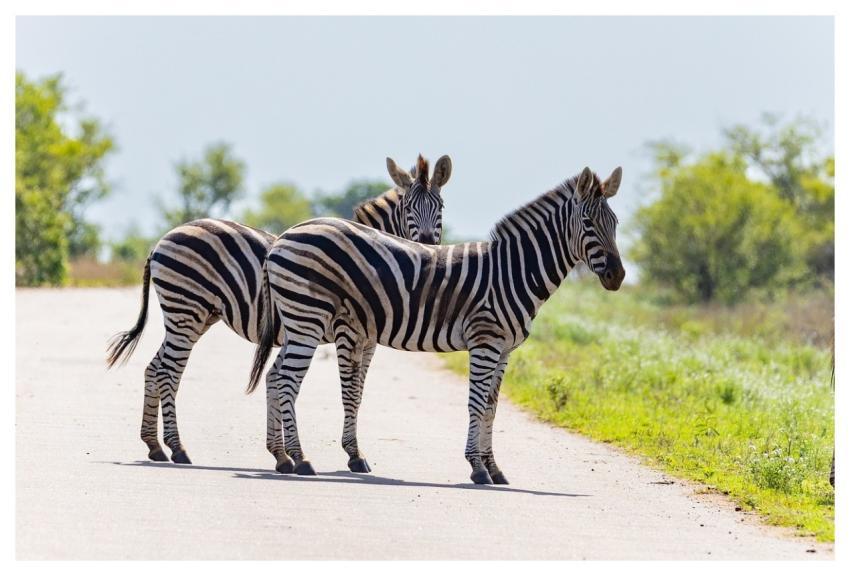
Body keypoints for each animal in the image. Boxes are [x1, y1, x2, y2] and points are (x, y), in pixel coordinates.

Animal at [106, 153, 453, 465]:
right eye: (407, 207)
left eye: (441, 206)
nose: (428, 245)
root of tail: (161, 241)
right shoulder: (348, 333)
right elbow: (349, 391)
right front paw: (352, 455)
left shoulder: (366, 340)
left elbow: (351, 390)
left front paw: (286, 453)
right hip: (186, 311)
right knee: (169, 372)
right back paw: (178, 449)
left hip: (195, 317)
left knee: (154, 367)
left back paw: (155, 446)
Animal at [248, 165, 625, 484]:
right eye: (588, 223)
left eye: (616, 223)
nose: (618, 276)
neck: (512, 273)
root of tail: (289, 233)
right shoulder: (485, 342)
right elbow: (476, 404)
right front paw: (477, 468)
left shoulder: (504, 350)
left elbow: (492, 407)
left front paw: (494, 467)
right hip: (307, 318)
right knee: (287, 381)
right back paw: (301, 460)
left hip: (298, 321)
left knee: (275, 376)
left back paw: (282, 457)